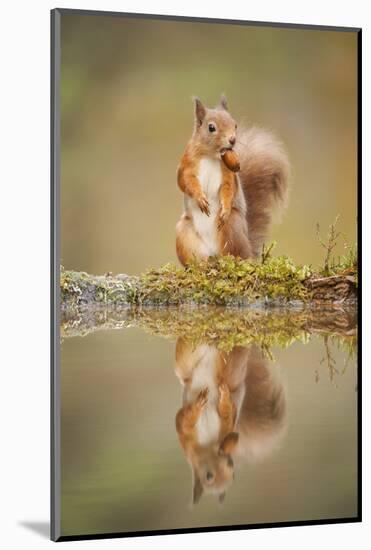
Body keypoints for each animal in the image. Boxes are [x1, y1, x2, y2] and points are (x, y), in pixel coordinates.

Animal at [177, 95, 290, 268]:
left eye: (235, 124)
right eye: (211, 127)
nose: (232, 140)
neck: (212, 155)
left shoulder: (229, 174)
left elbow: (228, 188)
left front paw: (224, 207)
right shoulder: (186, 164)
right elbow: (185, 182)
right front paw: (200, 198)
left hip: (232, 226)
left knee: (235, 254)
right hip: (184, 234)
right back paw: (202, 265)